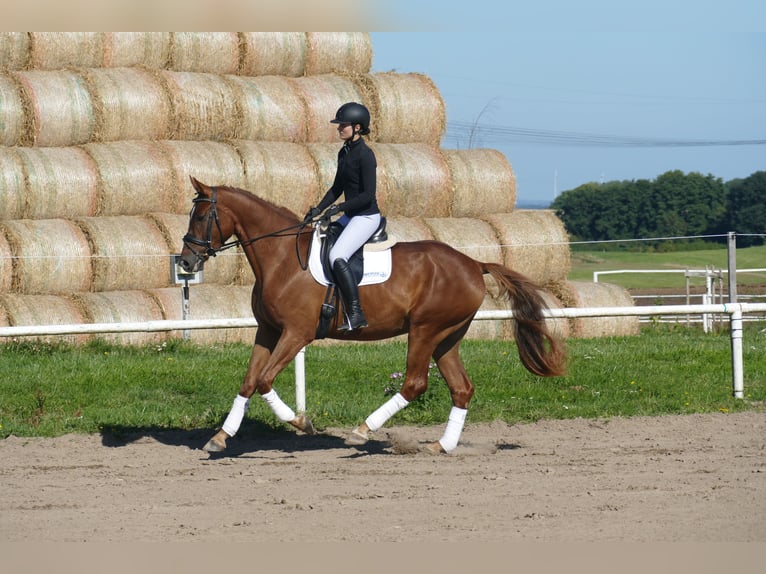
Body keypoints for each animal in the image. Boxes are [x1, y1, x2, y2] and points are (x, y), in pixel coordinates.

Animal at [178, 177, 566, 455]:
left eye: (202, 217)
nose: (185, 262)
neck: (282, 258)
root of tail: (474, 263)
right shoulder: (268, 331)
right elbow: (248, 382)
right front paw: (220, 436)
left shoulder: (297, 333)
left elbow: (263, 381)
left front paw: (301, 423)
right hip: (447, 337)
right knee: (461, 388)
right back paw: (440, 446)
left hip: (425, 330)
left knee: (414, 383)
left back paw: (362, 432)